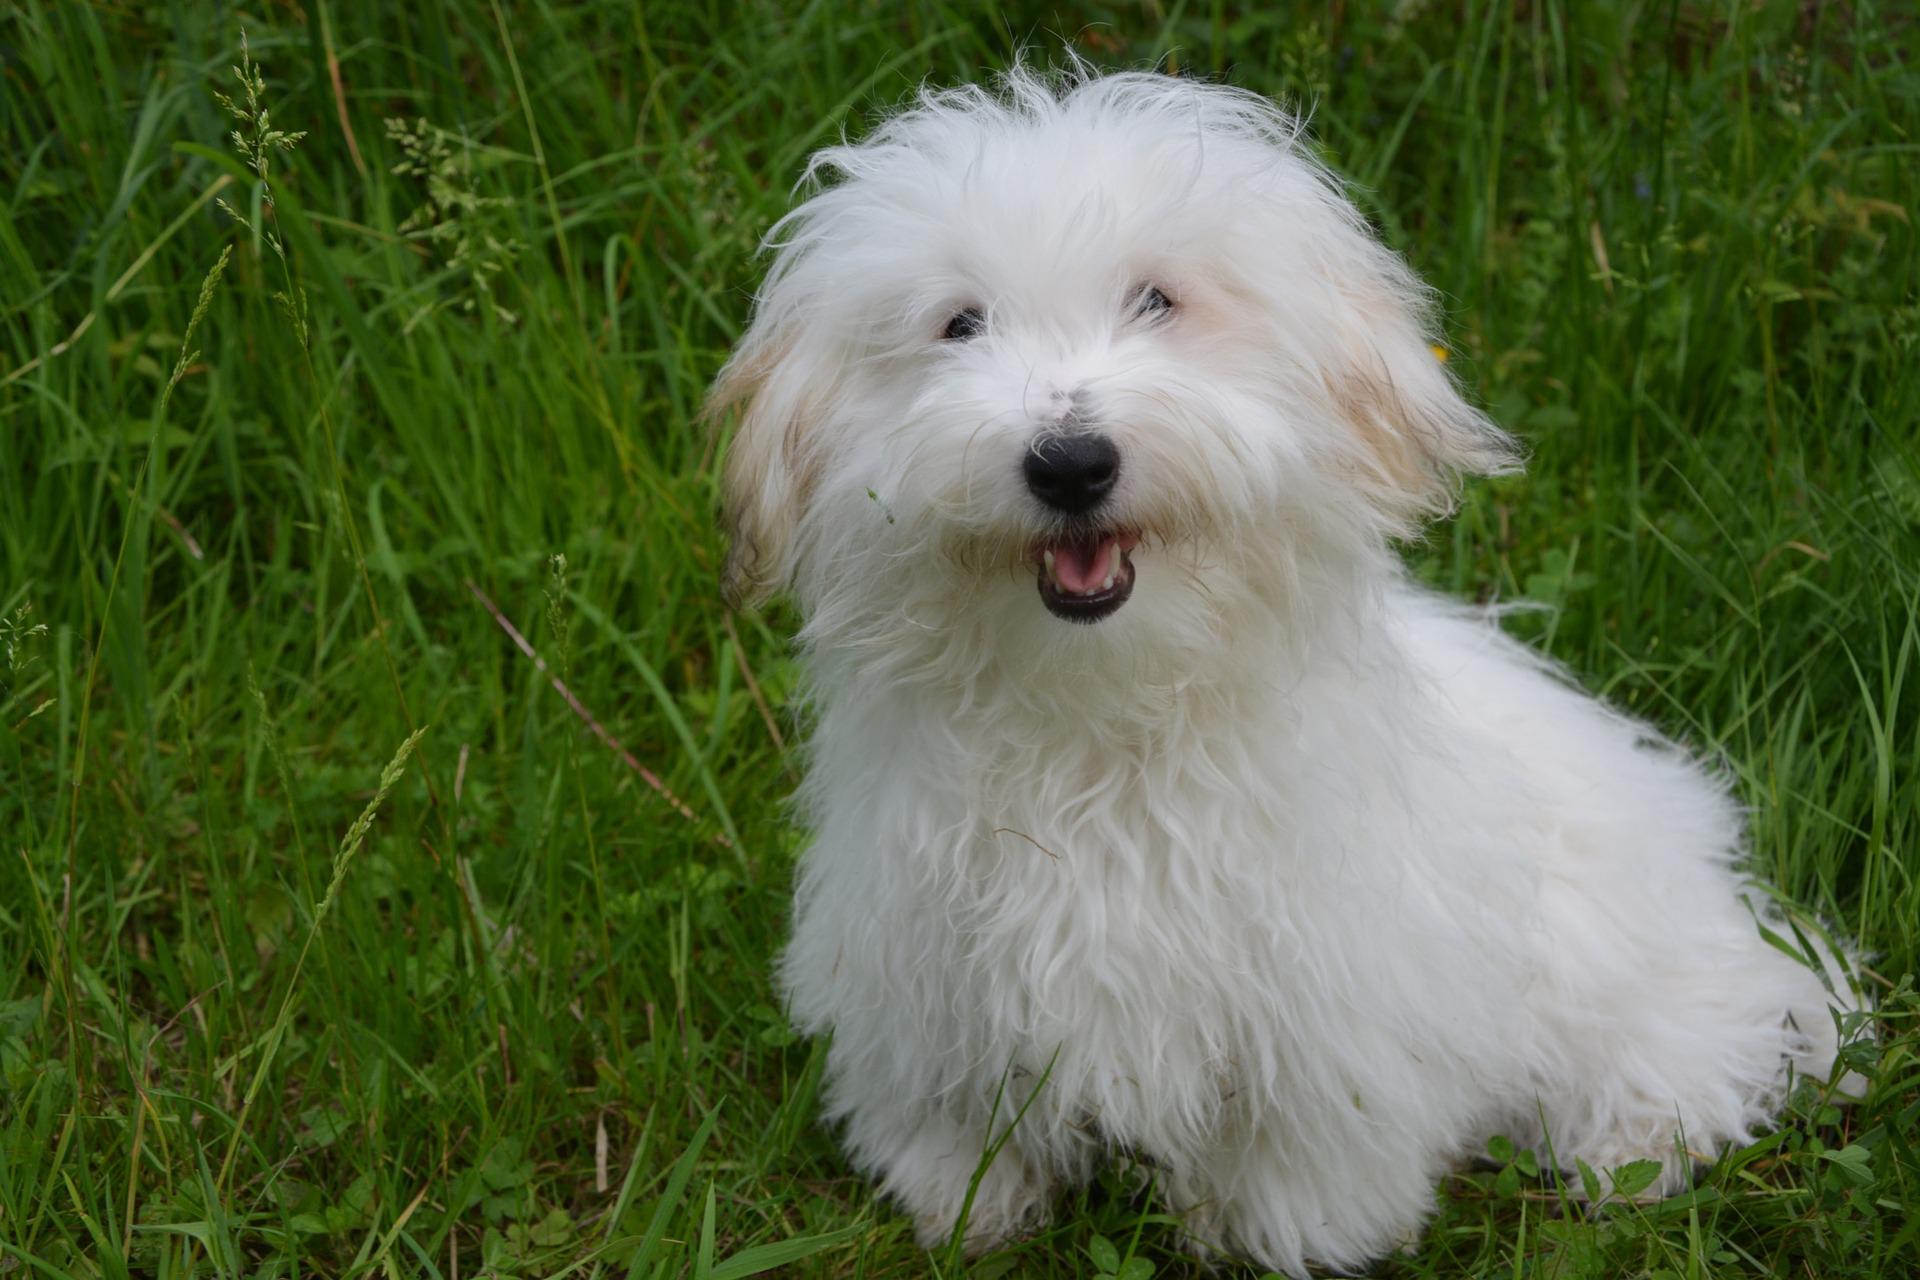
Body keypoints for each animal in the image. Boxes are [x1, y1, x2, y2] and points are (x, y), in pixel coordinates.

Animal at [710, 67, 1858, 1274]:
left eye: (1158, 301)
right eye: (960, 323)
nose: (1070, 461)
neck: (1102, 717)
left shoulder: (1326, 1005)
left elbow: (1298, 1148)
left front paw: (1266, 1234)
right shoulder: (924, 971)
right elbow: (957, 1114)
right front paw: (965, 1201)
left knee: (1709, 1037)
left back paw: (1630, 1143)